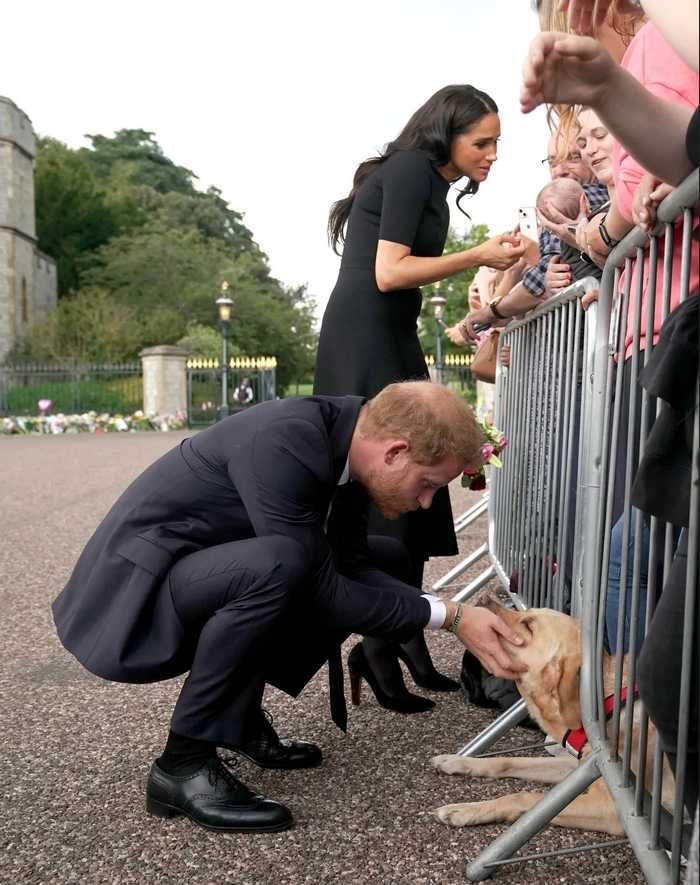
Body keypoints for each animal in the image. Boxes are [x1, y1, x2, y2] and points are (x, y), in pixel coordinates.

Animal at [430, 604, 676, 832]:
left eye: (529, 625)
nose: (483, 600)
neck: (608, 703)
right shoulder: (579, 768)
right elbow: (508, 761)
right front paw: (457, 762)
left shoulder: (612, 807)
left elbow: (523, 796)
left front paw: (466, 810)